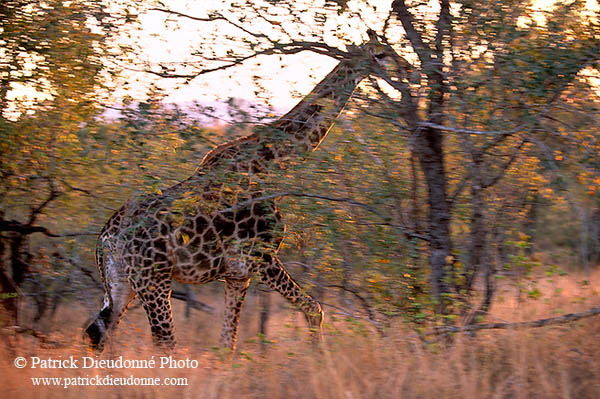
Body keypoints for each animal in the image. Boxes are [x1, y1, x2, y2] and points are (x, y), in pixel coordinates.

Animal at [83, 31, 404, 354]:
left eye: (390, 49)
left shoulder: (238, 275)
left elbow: (228, 343)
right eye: (380, 54)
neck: (271, 164)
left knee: (98, 334)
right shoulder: (261, 257)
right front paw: (321, 360)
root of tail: (105, 238)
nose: (406, 69)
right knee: (164, 342)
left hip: (121, 283)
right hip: (153, 279)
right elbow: (314, 308)